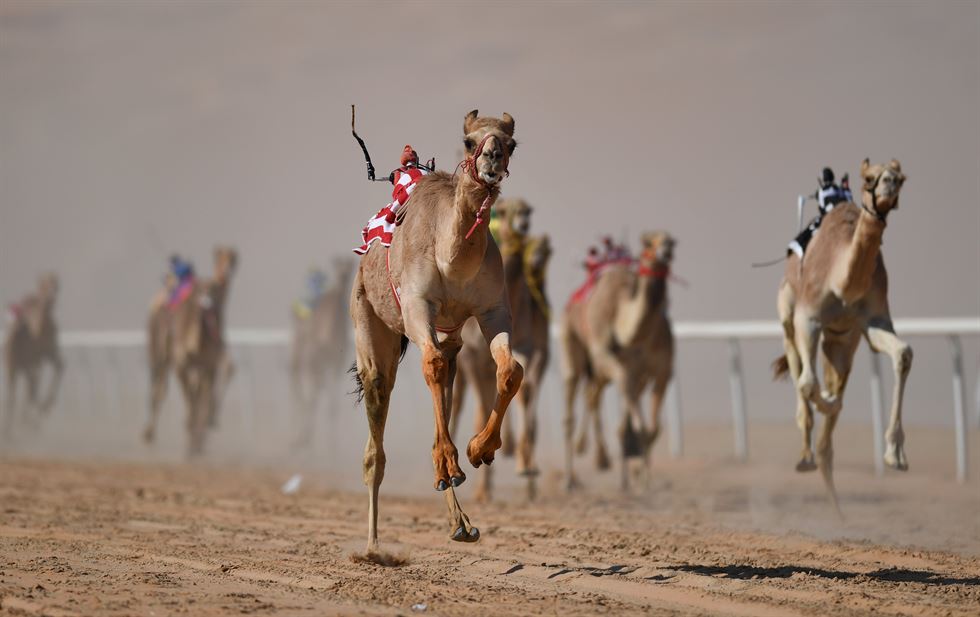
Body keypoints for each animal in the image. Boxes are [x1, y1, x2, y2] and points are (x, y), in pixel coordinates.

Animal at [2, 272, 63, 436]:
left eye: (56, 283)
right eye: (43, 284)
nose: (51, 296)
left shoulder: (47, 351)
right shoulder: (28, 359)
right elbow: (28, 389)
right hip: (21, 363)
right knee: (23, 389)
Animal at [288, 255, 356, 448]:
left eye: (349, 267)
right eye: (337, 266)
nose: (343, 276)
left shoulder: (335, 362)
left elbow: (332, 403)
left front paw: (332, 446)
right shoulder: (317, 357)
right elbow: (314, 397)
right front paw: (304, 440)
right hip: (300, 352)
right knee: (297, 383)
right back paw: (295, 437)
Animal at [350, 108, 524, 552]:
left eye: (511, 143)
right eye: (468, 140)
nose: (492, 158)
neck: (453, 258)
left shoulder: (493, 311)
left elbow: (511, 370)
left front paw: (480, 449)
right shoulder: (416, 306)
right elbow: (430, 365)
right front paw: (453, 461)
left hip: (453, 341)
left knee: (444, 387)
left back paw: (460, 518)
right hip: (368, 317)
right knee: (376, 431)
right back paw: (373, 548)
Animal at [560, 231, 672, 490]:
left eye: (673, 242)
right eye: (648, 243)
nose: (666, 251)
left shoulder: (659, 372)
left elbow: (648, 428)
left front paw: (640, 478)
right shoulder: (616, 365)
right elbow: (639, 426)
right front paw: (642, 480)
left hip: (607, 375)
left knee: (593, 397)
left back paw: (604, 460)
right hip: (572, 342)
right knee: (572, 403)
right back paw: (570, 479)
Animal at [772, 159, 912, 510]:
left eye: (901, 178)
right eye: (870, 177)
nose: (889, 184)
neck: (843, 282)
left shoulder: (872, 322)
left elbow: (903, 353)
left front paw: (896, 454)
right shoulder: (808, 317)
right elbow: (808, 384)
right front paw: (829, 402)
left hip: (842, 340)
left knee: (834, 384)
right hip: (788, 313)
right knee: (798, 370)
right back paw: (806, 455)